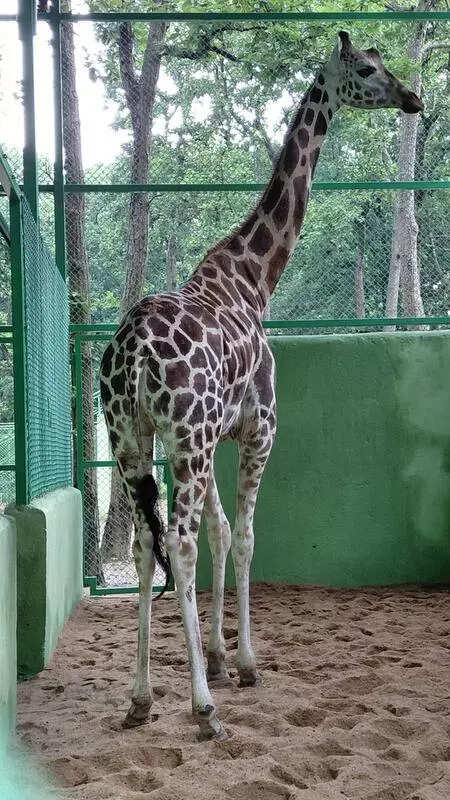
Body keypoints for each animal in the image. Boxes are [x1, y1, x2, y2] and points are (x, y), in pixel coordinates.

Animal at [99, 31, 423, 741]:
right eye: (368, 69)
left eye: (386, 65)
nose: (413, 97)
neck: (255, 278)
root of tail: (131, 353)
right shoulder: (258, 428)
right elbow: (245, 536)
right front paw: (244, 664)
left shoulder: (214, 433)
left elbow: (223, 532)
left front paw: (222, 657)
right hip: (183, 439)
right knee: (180, 545)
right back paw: (202, 710)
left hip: (132, 437)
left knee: (145, 544)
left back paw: (140, 699)